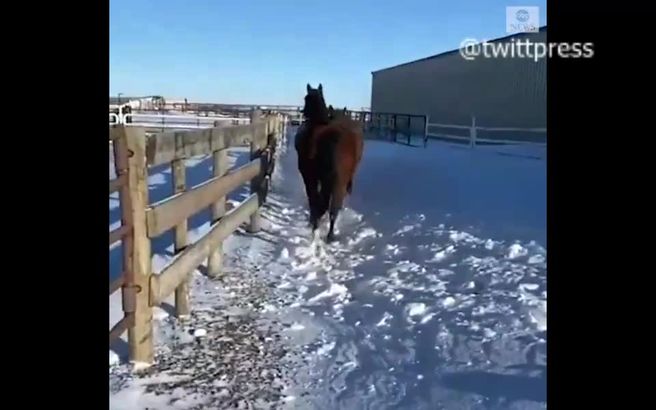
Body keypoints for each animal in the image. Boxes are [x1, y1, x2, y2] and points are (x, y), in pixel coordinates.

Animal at [298, 84, 364, 243]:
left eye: (306, 98)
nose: (303, 112)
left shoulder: (310, 177)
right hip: (337, 182)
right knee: (333, 207)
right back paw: (329, 234)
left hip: (324, 180)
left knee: (322, 204)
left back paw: (317, 228)